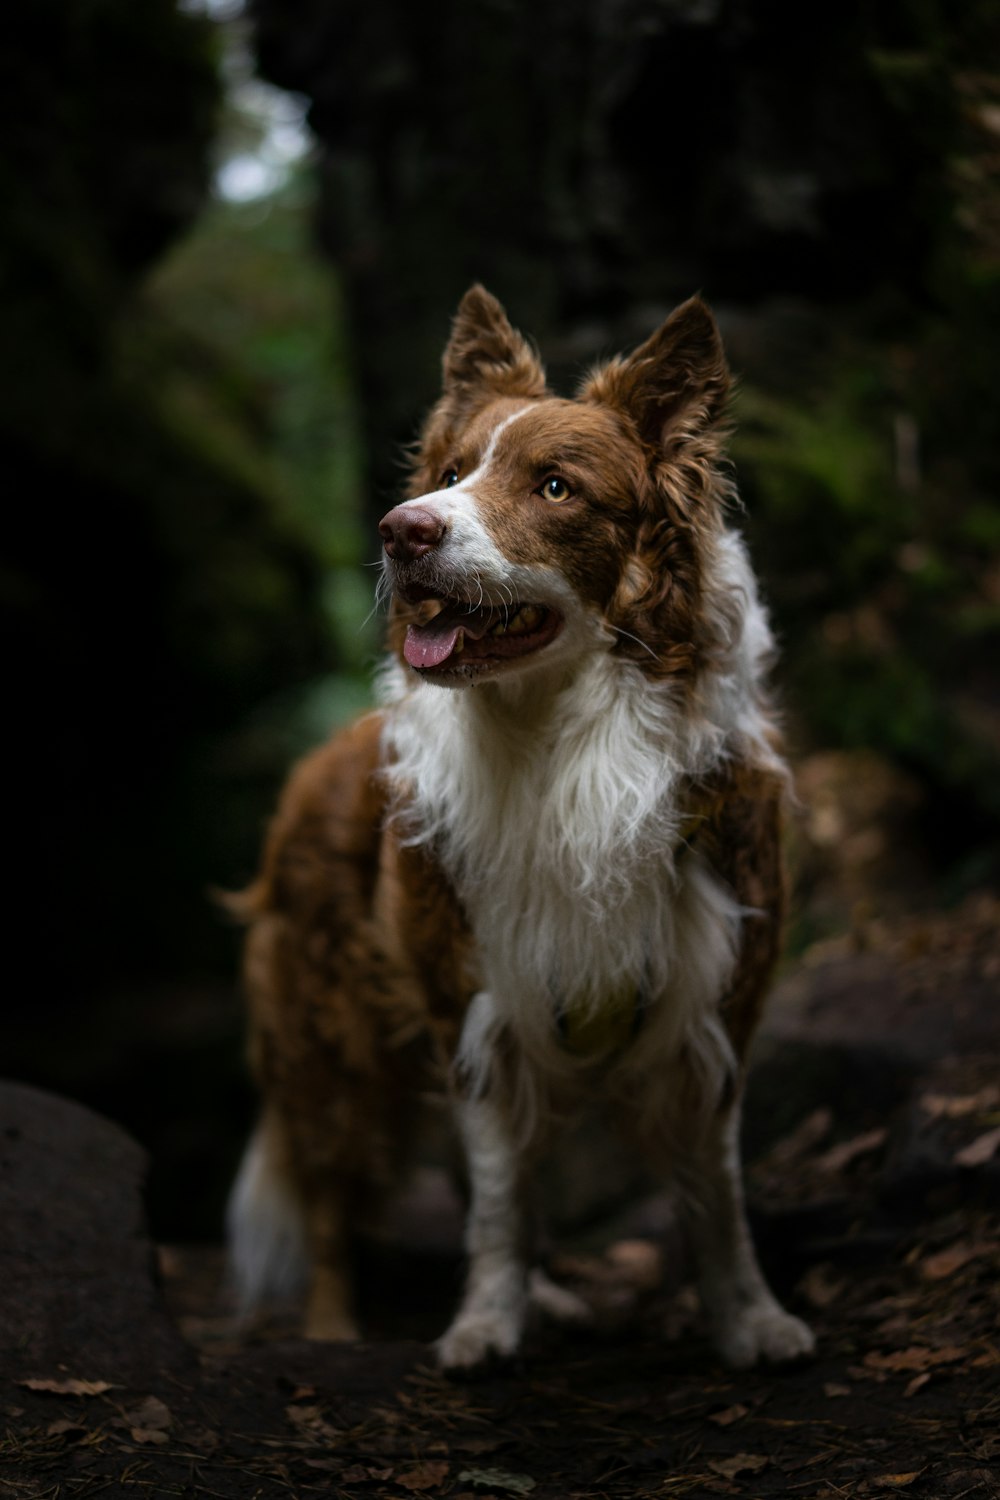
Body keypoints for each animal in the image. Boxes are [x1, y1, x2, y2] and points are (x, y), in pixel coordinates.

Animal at [230, 283, 815, 1374]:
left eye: (554, 487)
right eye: (450, 474)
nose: (400, 530)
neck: (561, 749)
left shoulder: (715, 1001)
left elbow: (715, 1199)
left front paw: (749, 1319)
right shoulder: (477, 998)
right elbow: (500, 1199)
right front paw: (482, 1327)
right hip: (331, 1034)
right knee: (333, 1203)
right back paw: (334, 1328)